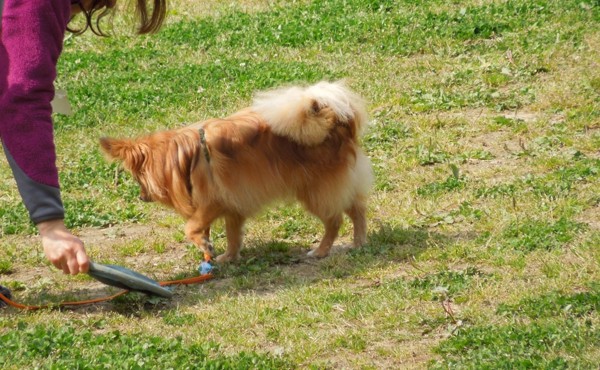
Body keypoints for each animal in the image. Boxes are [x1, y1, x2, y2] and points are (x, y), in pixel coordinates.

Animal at [101, 81, 372, 262]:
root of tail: (336, 120)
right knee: (357, 209)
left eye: (137, 178)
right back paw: (359, 242)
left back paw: (321, 250)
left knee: (335, 220)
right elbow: (232, 235)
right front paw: (228, 257)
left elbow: (191, 227)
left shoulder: (214, 200)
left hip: (315, 190)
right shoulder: (233, 203)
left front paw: (206, 245)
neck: (185, 158)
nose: (141, 196)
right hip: (335, 185)